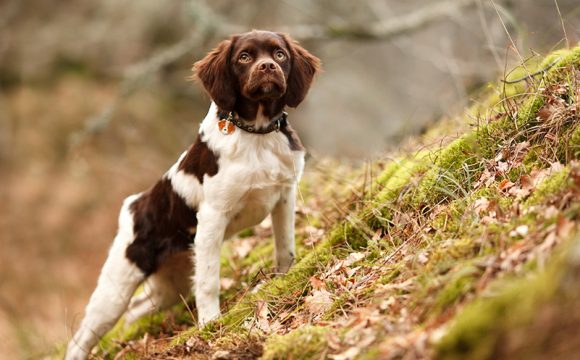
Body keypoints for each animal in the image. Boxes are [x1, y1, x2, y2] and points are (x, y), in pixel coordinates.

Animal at [67, 31, 322, 360]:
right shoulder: (213, 217)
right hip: (115, 289)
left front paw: (284, 279)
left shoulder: (285, 195)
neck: (256, 134)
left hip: (171, 285)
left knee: (137, 310)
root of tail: (133, 206)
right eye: (244, 57)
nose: (268, 67)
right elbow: (209, 280)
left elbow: (285, 248)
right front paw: (211, 324)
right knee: (82, 336)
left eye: (280, 55)